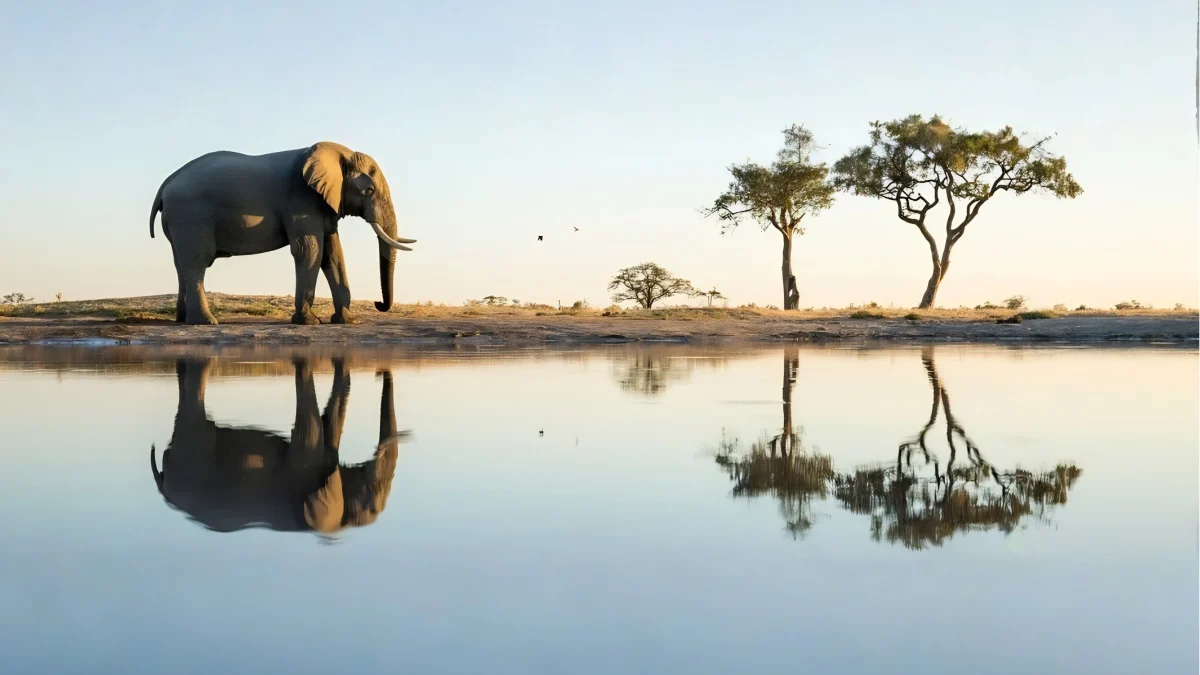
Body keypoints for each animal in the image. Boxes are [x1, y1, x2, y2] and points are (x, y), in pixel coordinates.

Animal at [148, 142, 417, 325]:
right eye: (369, 190)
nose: (378, 304)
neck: (339, 153)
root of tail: (166, 184)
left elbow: (333, 254)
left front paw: (347, 321)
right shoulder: (301, 200)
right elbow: (310, 250)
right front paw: (308, 322)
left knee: (181, 264)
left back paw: (183, 320)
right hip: (191, 215)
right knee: (197, 262)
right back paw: (206, 322)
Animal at [150, 356, 410, 535]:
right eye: (371, 506)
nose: (379, 373)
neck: (336, 529)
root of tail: (163, 488)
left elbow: (330, 426)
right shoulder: (302, 473)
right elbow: (313, 428)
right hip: (192, 459)